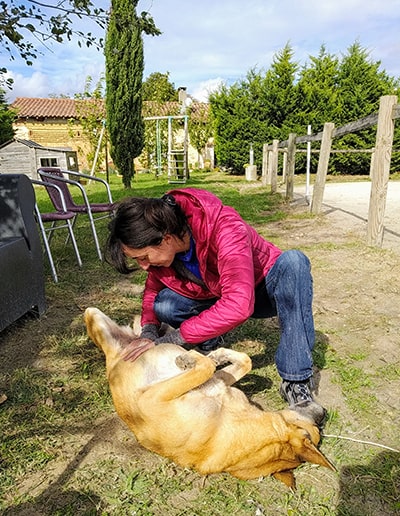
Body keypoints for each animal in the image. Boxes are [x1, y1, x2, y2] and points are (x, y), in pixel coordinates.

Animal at [85, 308, 334, 490]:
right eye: (314, 431)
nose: (324, 413)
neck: (224, 424)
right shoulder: (218, 383)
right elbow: (243, 360)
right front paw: (212, 355)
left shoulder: (154, 397)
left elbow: (208, 367)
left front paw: (197, 358)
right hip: (97, 316)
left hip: (96, 319)